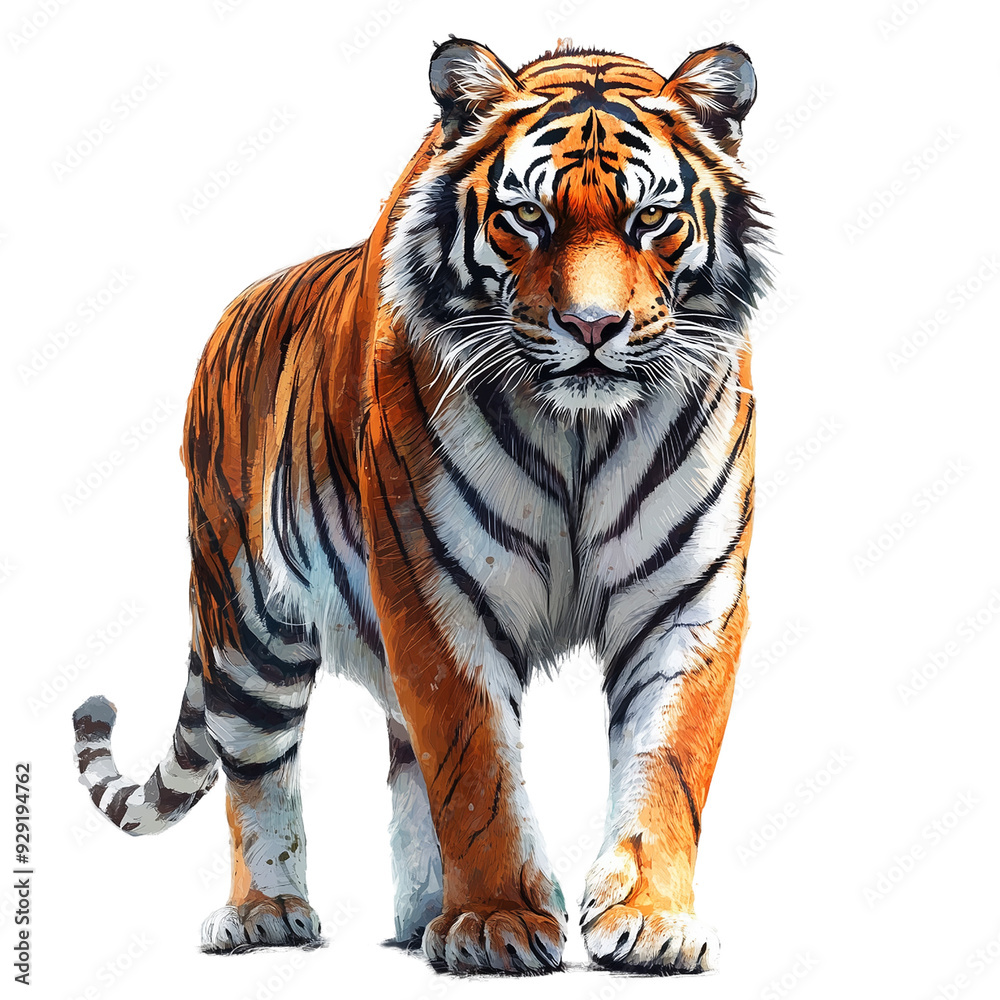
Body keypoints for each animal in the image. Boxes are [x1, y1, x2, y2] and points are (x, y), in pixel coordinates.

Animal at [72, 36, 768, 974]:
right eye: (529, 217)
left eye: (652, 220)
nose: (593, 328)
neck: (580, 432)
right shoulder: (435, 588)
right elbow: (474, 767)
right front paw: (500, 923)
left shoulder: (686, 596)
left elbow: (669, 758)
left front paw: (652, 921)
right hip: (247, 628)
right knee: (257, 767)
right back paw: (268, 912)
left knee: (405, 756)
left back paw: (421, 914)